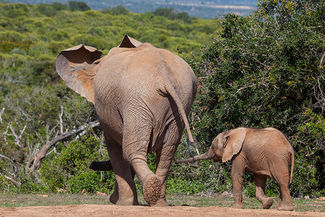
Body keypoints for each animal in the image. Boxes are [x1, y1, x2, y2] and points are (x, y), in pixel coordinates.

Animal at [56, 34, 196, 206]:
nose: (91, 164)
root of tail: (163, 75)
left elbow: (115, 150)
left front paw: (122, 203)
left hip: (136, 100)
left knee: (131, 150)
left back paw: (150, 191)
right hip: (180, 99)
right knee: (167, 151)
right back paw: (159, 202)